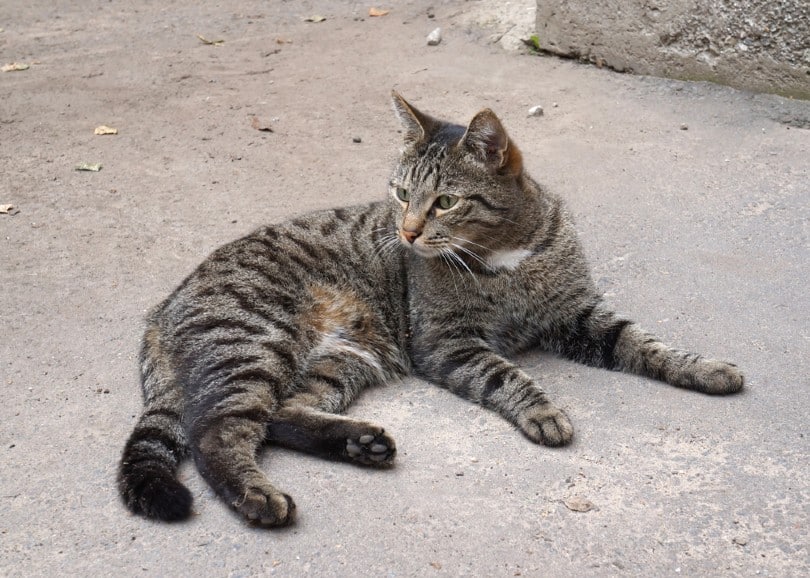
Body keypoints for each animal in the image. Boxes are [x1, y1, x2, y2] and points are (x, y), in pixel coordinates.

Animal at [117, 91, 740, 528]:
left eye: (445, 201)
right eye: (399, 194)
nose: (408, 232)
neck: (507, 257)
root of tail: (161, 308)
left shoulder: (578, 313)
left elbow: (645, 343)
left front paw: (704, 367)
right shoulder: (447, 342)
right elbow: (506, 374)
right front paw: (541, 410)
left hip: (345, 357)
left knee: (282, 413)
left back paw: (360, 443)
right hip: (255, 342)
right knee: (216, 431)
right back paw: (258, 496)